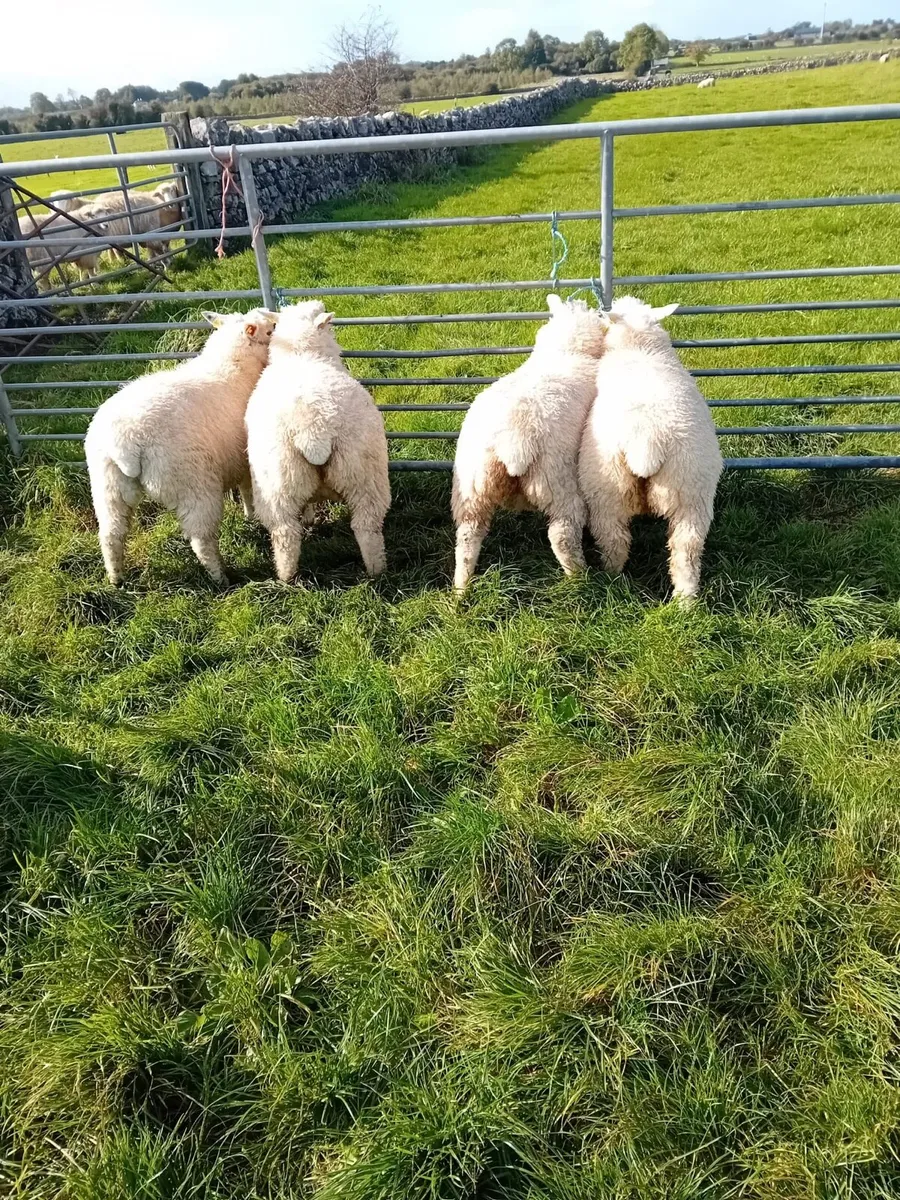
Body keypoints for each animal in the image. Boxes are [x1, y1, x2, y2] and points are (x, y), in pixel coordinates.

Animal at [85, 308, 278, 584]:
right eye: (271, 330)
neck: (234, 364)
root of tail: (126, 440)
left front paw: (249, 517)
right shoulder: (246, 457)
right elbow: (249, 490)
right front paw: (252, 516)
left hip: (107, 486)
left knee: (111, 534)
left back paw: (116, 579)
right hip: (193, 484)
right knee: (201, 539)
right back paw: (221, 577)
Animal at [245, 300, 391, 582]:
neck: (302, 355)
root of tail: (313, 431)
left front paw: (310, 518)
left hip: (279, 485)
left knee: (286, 533)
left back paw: (286, 577)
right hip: (363, 475)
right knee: (366, 526)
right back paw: (376, 571)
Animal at [451, 293, 606, 591]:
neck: (566, 350)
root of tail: (512, 442)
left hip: (471, 490)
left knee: (467, 537)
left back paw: (461, 588)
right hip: (557, 483)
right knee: (562, 534)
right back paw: (580, 579)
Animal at [578, 296, 722, 602]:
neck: (641, 348)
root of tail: (647, 442)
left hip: (606, 490)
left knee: (615, 540)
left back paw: (611, 577)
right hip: (692, 490)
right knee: (686, 550)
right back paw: (686, 600)